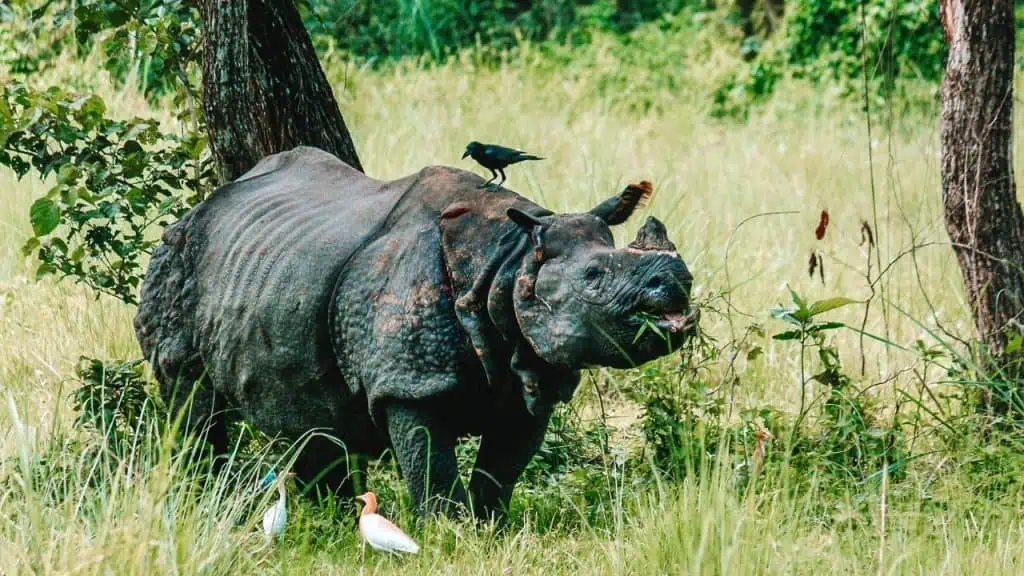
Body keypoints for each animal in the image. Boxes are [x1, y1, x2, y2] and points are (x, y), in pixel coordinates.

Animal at [135, 146, 698, 519]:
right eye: (593, 277)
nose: (678, 281)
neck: (509, 260)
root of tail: (201, 206)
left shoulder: (531, 367)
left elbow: (502, 467)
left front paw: (491, 527)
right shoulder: (407, 381)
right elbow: (430, 463)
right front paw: (448, 533)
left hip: (280, 272)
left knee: (313, 412)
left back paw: (328, 521)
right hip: (178, 257)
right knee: (189, 394)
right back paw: (201, 497)